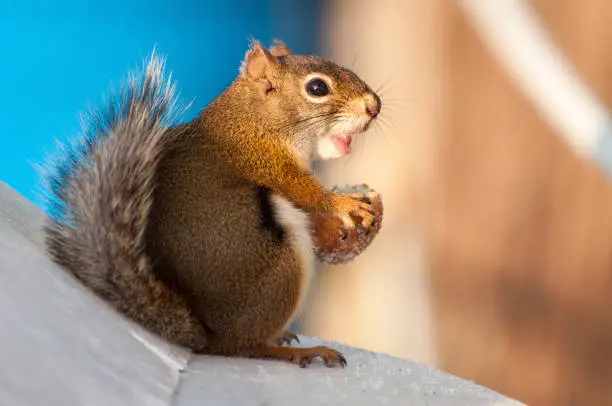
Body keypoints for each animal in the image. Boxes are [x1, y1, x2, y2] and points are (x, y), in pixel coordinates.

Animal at [44, 38, 378, 368]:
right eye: (317, 88)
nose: (374, 106)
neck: (254, 119)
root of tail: (208, 336)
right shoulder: (264, 161)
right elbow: (306, 193)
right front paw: (344, 204)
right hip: (283, 270)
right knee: (245, 347)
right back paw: (300, 351)